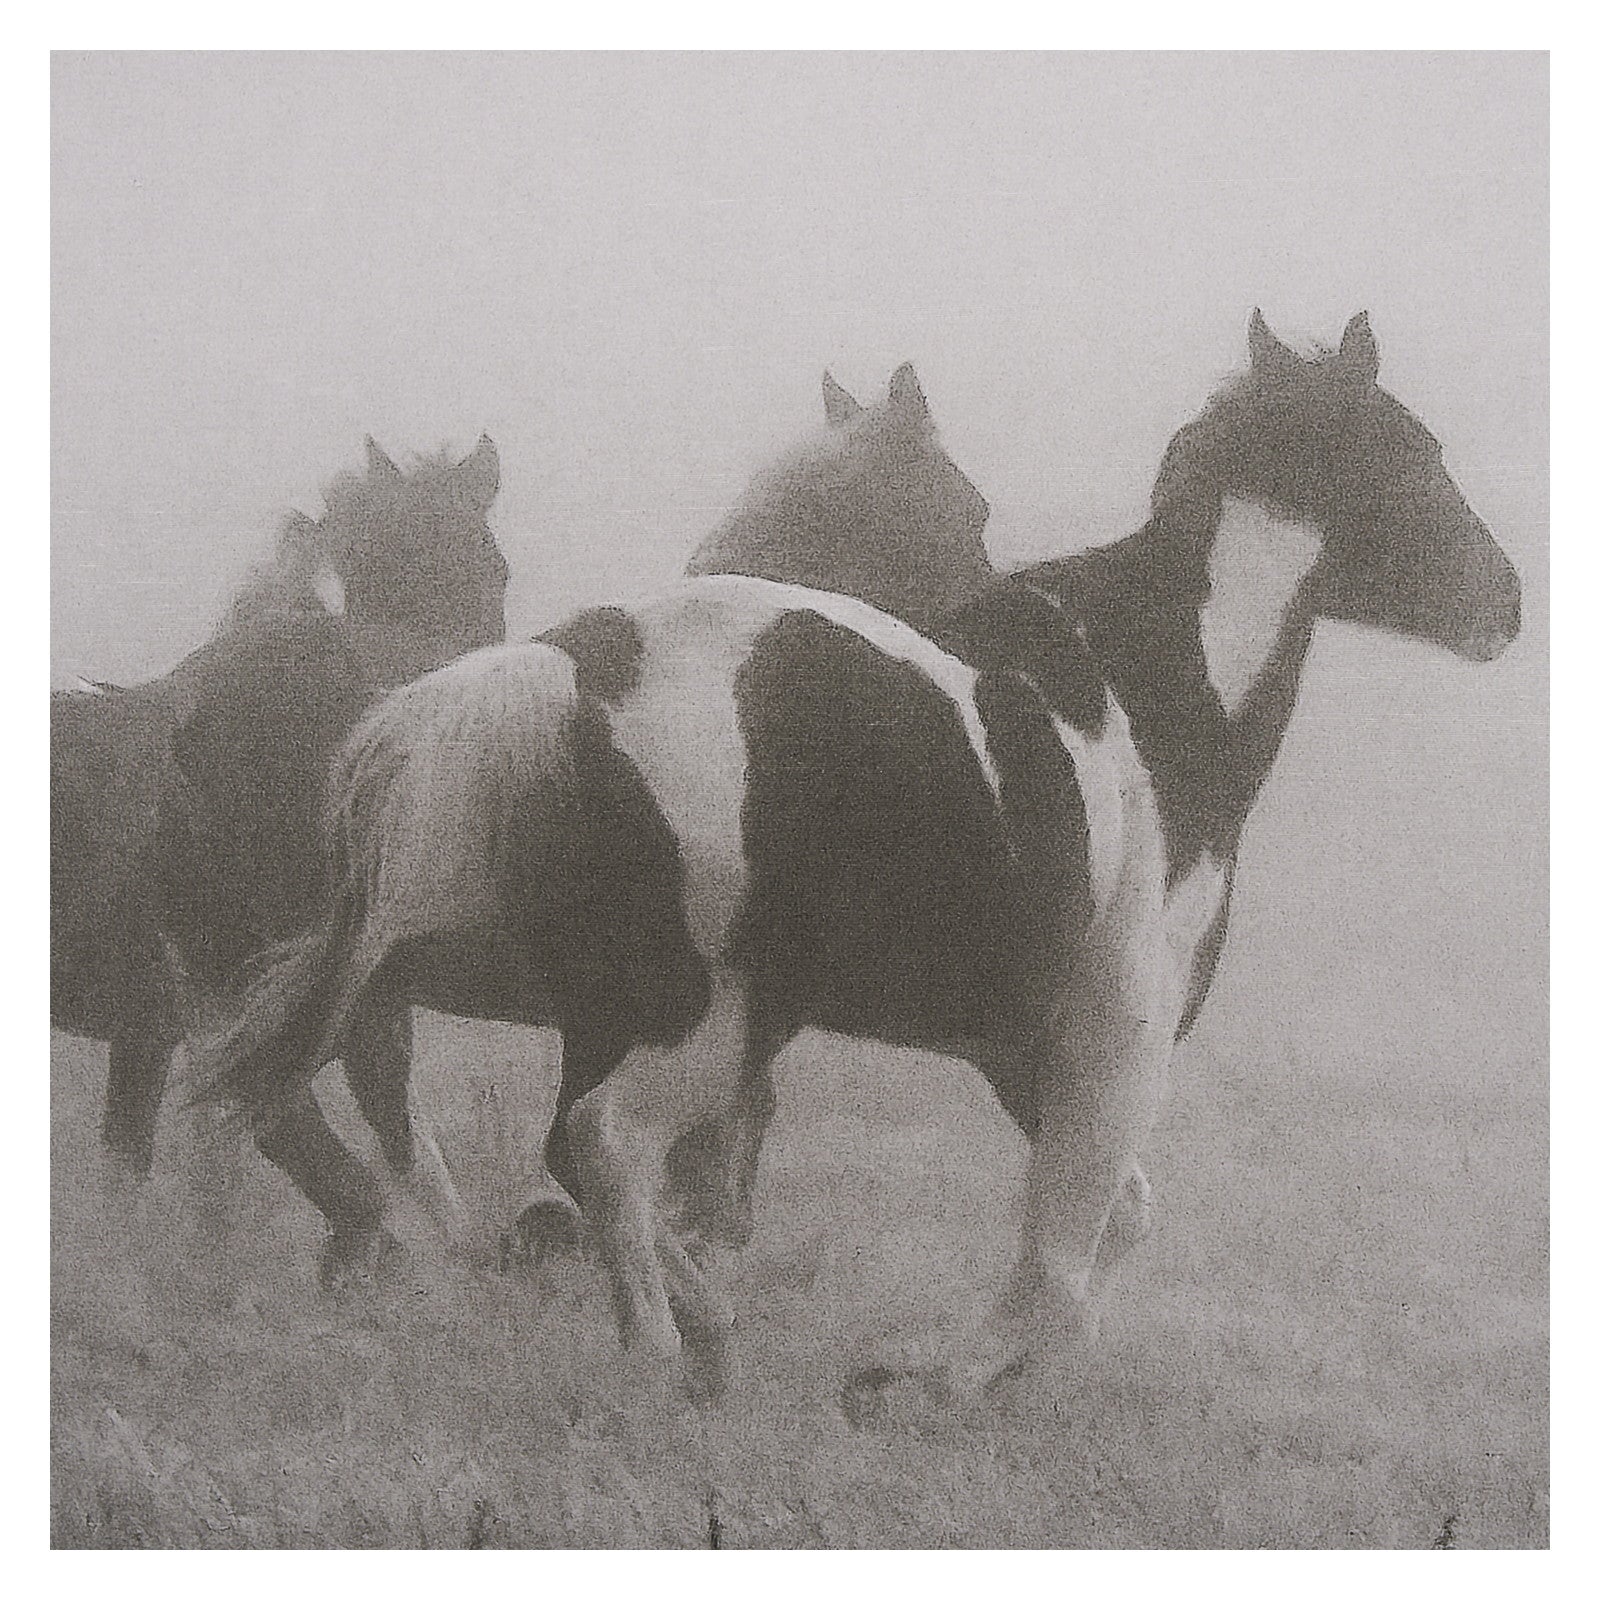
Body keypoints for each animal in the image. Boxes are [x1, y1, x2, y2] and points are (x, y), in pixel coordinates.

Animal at [191, 312, 1520, 1403]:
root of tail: (575, 660)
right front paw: (946, 1380)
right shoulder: (1119, 1027)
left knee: (555, 1148)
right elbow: (1067, 1238)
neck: (1160, 705)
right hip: (703, 1015)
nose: (1504, 603)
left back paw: (686, 1330)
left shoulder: (1023, 1043)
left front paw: (996, 1375)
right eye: (1419, 455)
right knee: (599, 1142)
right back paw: (667, 1351)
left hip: (626, 1006)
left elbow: (1114, 1218)